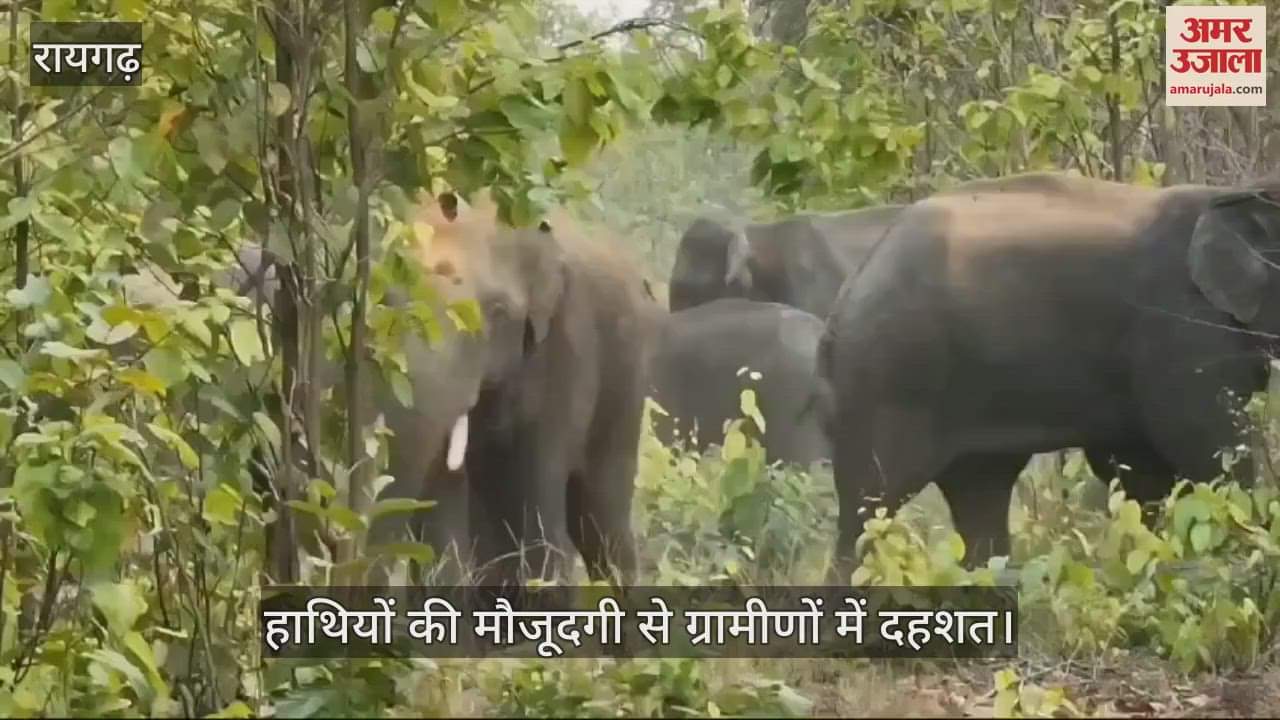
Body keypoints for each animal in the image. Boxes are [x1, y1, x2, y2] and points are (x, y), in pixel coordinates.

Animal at [817, 172, 1280, 579]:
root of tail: (847, 293)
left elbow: (1141, 470)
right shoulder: (1178, 324)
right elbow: (1207, 448)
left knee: (979, 494)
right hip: (888, 377)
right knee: (869, 504)